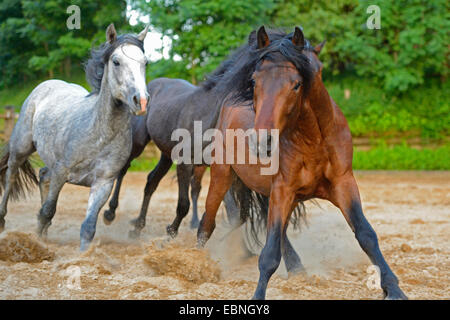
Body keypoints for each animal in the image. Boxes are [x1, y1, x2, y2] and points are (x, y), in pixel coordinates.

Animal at [0, 23, 151, 251]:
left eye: (145, 63)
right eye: (116, 61)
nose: (140, 101)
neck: (98, 134)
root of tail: (46, 85)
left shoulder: (103, 183)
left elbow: (88, 226)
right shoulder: (61, 173)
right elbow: (47, 211)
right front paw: (37, 242)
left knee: (43, 175)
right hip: (21, 148)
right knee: (11, 176)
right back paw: (2, 221)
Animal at [197, 25, 408, 300]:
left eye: (297, 84)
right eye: (253, 81)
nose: (261, 140)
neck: (313, 140)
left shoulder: (343, 184)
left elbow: (366, 235)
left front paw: (393, 288)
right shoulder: (283, 189)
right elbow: (268, 254)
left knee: (277, 232)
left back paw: (297, 268)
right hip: (222, 177)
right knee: (207, 223)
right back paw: (190, 262)